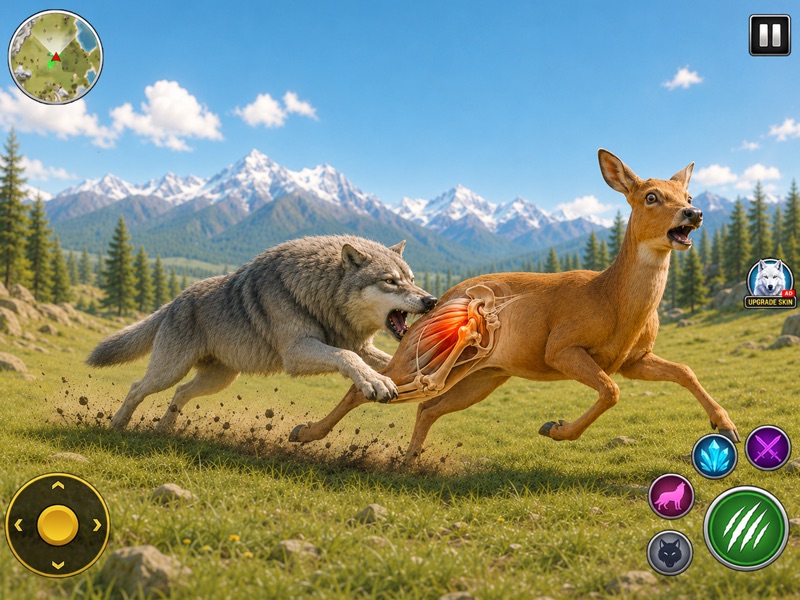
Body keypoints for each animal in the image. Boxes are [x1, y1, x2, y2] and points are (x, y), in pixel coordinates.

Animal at [87, 235, 437, 431]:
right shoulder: (297, 352)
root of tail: (175, 299)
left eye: (411, 279)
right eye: (390, 282)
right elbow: (347, 357)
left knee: (181, 393)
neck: (319, 294)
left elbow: (378, 358)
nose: (431, 301)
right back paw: (118, 424)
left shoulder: (359, 346)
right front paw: (375, 383)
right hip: (170, 371)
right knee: (137, 387)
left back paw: (164, 428)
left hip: (218, 380)